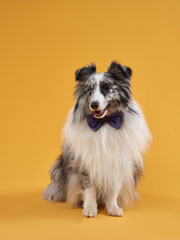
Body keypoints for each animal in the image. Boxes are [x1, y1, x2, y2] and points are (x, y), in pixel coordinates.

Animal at [43, 60, 151, 218]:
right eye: (89, 89)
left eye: (107, 87)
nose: (93, 105)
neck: (104, 123)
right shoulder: (85, 163)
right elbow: (89, 189)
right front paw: (89, 208)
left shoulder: (117, 161)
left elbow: (113, 190)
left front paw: (113, 207)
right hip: (59, 166)